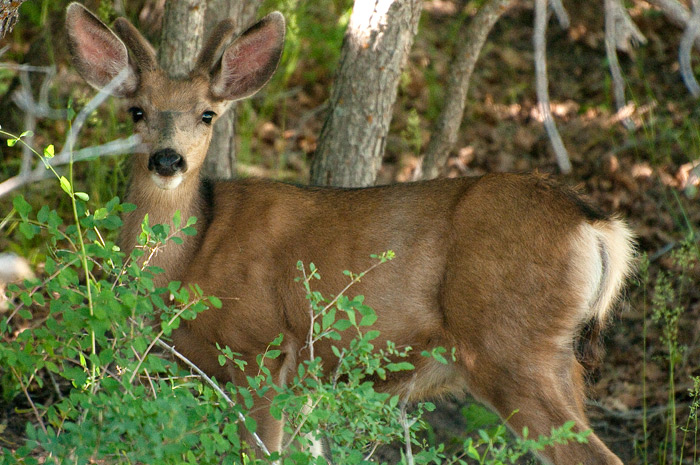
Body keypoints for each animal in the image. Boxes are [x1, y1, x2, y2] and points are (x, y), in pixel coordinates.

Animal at [65, 4, 636, 464]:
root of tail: (593, 223)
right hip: (560, 358)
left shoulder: (260, 349)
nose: (167, 160)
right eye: (136, 111)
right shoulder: (302, 378)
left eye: (207, 114)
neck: (189, 260)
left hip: (510, 346)